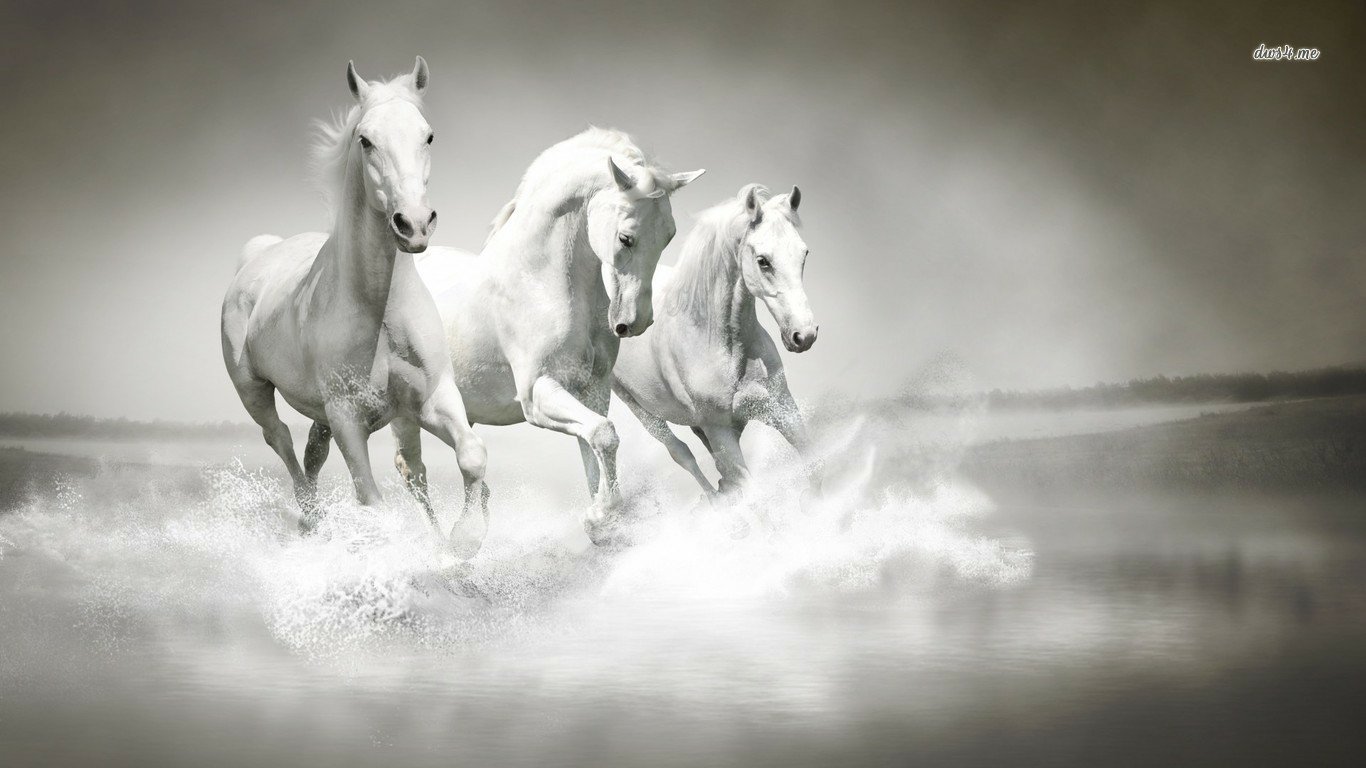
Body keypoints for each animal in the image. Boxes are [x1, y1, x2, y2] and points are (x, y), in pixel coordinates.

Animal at [220, 58, 489, 554]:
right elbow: (371, 500)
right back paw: (311, 519)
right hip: (253, 390)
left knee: (313, 452)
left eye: (428, 135)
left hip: (322, 414)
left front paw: (464, 540)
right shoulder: (348, 418)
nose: (414, 224)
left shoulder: (433, 398)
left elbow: (471, 455)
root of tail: (256, 257)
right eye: (366, 140)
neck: (379, 311)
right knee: (280, 440)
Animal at [397, 128, 704, 549]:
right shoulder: (537, 393)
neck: (540, 280)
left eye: (669, 236)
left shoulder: (591, 391)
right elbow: (605, 435)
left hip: (457, 411)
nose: (635, 322)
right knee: (413, 473)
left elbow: (595, 445)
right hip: (405, 414)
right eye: (625, 237)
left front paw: (603, 522)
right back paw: (447, 548)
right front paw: (599, 517)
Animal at [611, 184, 820, 511]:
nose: (804, 335)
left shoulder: (782, 408)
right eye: (763, 260)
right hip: (640, 409)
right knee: (681, 452)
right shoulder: (720, 430)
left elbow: (814, 469)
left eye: (804, 253)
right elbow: (753, 497)